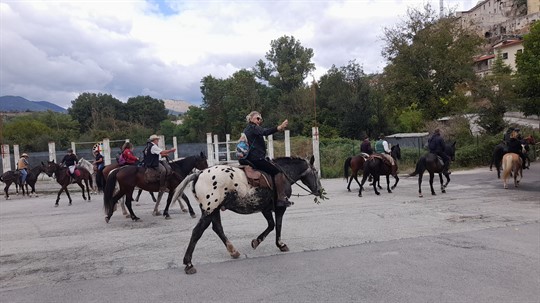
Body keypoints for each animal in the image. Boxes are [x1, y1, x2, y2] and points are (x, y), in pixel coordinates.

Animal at [171, 157, 322, 276]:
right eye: (316, 172)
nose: (320, 191)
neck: (284, 174)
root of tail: (199, 174)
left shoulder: (264, 208)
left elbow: (271, 225)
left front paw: (256, 241)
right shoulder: (280, 208)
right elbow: (278, 225)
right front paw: (281, 244)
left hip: (214, 210)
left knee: (217, 228)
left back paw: (233, 251)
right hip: (209, 210)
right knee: (197, 232)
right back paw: (188, 263)